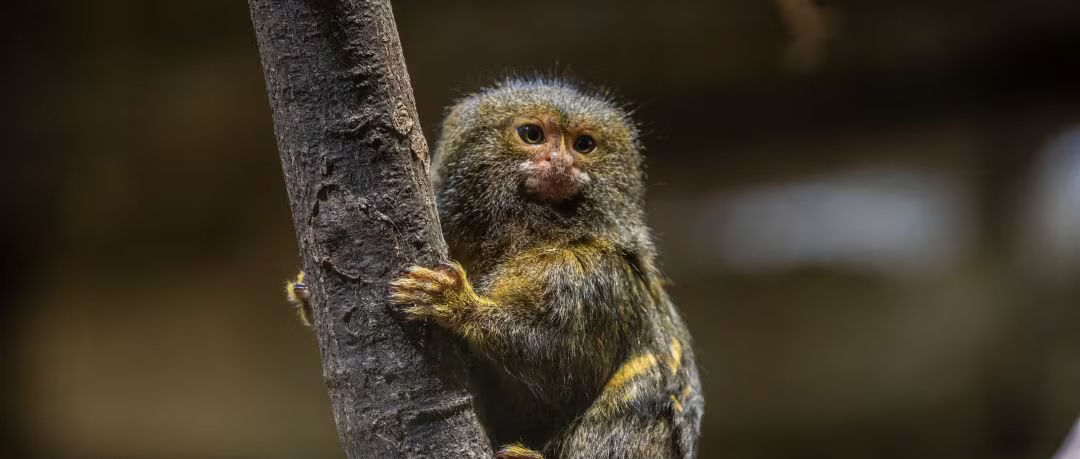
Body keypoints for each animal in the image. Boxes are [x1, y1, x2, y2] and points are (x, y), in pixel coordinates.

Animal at [288, 78, 702, 458]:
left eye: (584, 145)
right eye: (532, 135)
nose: (561, 163)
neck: (531, 231)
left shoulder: (593, 277)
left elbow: (562, 373)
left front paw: (456, 304)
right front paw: (308, 294)